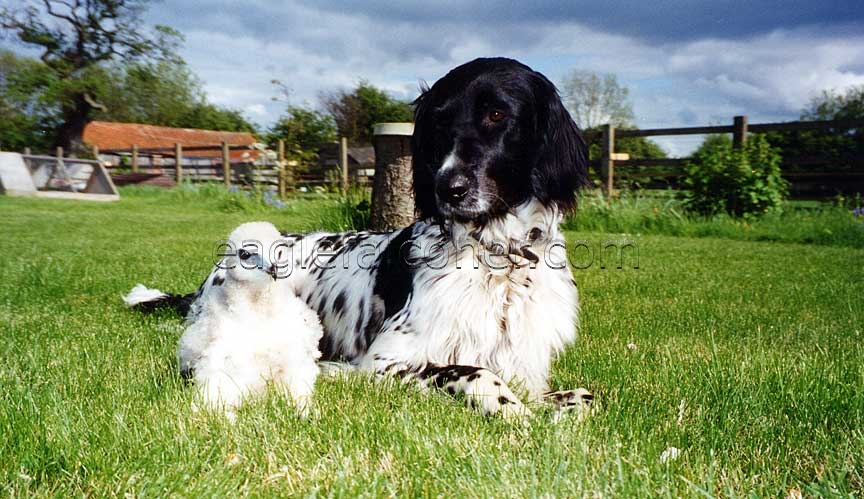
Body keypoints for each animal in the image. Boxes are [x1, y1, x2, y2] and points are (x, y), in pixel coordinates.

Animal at [126, 56, 592, 420]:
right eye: (439, 124)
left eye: (497, 115)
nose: (447, 188)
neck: (498, 261)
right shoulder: (385, 363)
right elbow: (475, 371)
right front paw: (510, 407)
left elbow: (584, 397)